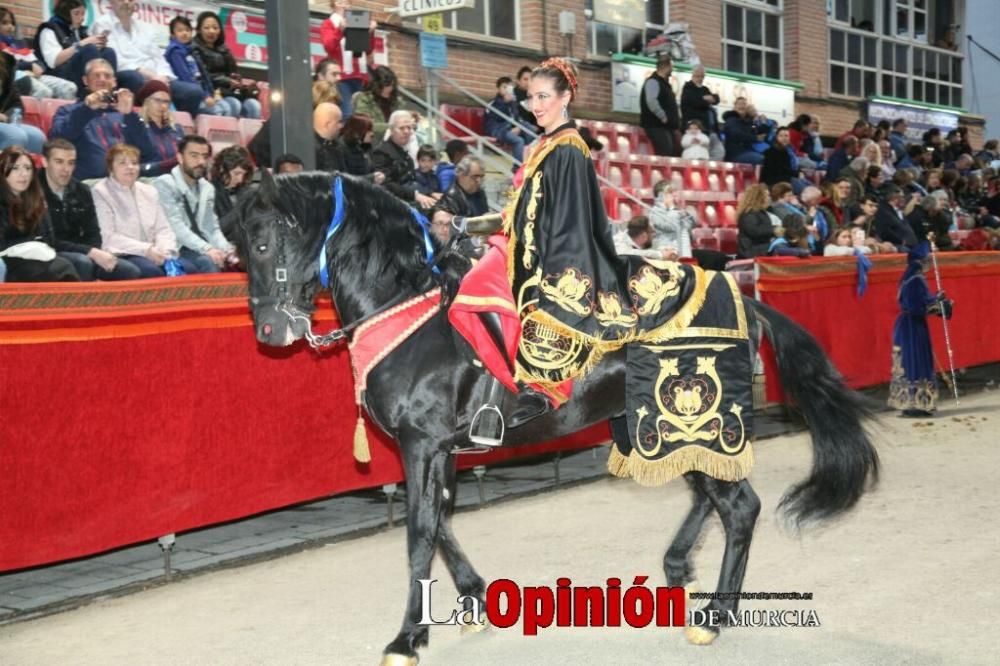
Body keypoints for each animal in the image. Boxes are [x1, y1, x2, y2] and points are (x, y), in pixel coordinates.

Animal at [225, 170, 876, 660]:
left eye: (263, 243)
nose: (270, 332)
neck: (410, 310)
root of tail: (743, 300)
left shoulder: (422, 445)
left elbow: (419, 531)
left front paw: (407, 637)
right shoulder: (441, 450)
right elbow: (441, 521)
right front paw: (475, 599)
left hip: (695, 420)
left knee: (739, 506)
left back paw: (716, 614)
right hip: (656, 428)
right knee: (708, 497)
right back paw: (678, 569)